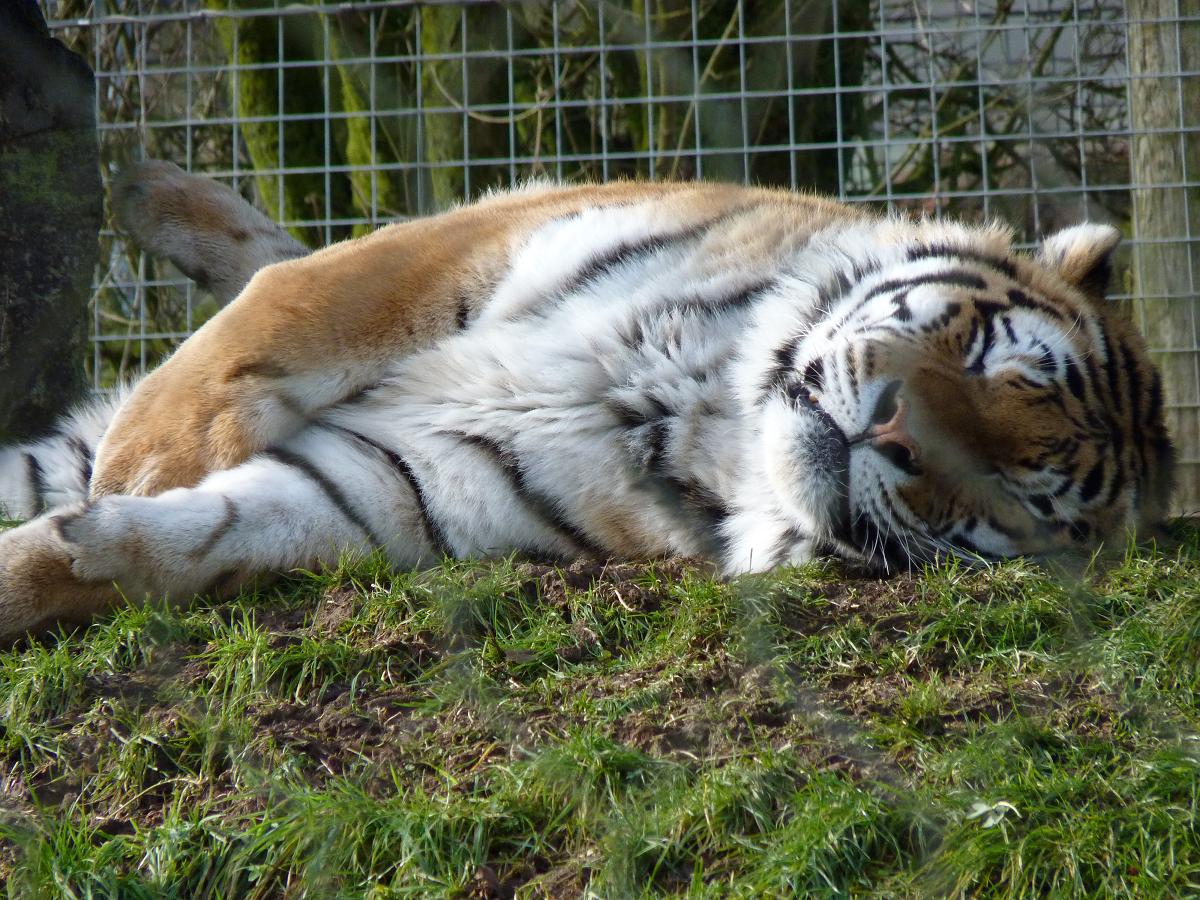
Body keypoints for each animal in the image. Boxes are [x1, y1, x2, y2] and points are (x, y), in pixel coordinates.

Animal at [0, 161, 1175, 640]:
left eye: (1016, 496)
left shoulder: (402, 483)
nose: (891, 428)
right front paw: (154, 455)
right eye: (979, 354)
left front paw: (80, 546)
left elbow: (202, 534)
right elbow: (294, 301)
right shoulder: (497, 231)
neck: (718, 419)